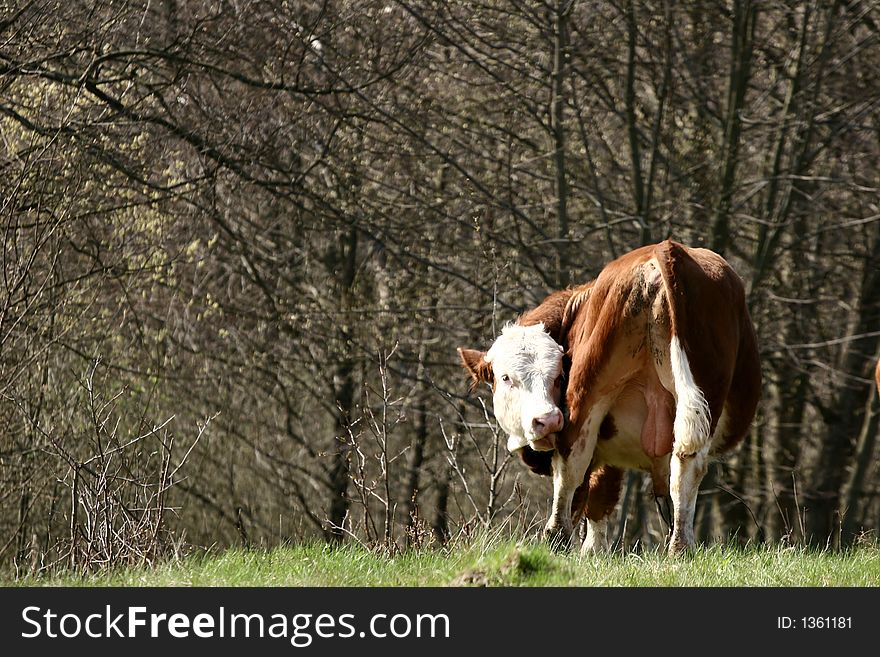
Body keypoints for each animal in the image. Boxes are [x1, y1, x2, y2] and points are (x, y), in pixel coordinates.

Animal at [460, 240, 764, 552]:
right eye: (506, 377)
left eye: (558, 376)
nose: (548, 420)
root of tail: (664, 249)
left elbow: (595, 494)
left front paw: (592, 550)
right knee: (686, 465)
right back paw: (680, 547)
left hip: (585, 396)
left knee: (571, 464)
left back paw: (558, 537)